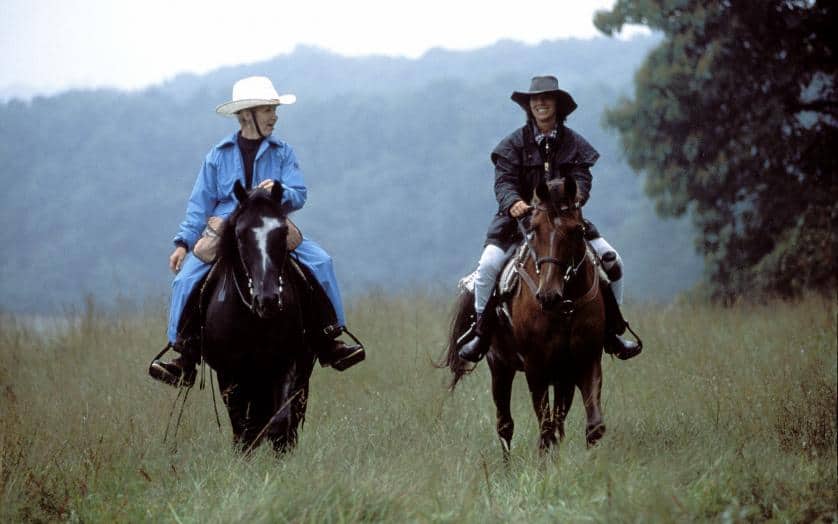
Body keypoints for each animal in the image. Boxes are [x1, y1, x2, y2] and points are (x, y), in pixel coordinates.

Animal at [200, 179, 318, 450]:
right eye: (241, 235)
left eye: (283, 232)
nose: (268, 300)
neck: (254, 321)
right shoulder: (229, 375)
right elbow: (243, 432)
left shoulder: (288, 364)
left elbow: (280, 424)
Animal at [442, 176, 608, 458]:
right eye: (535, 229)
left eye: (577, 230)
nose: (548, 295)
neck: (564, 308)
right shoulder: (535, 368)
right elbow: (545, 429)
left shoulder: (585, 361)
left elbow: (592, 426)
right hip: (500, 367)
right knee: (505, 425)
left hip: (561, 377)